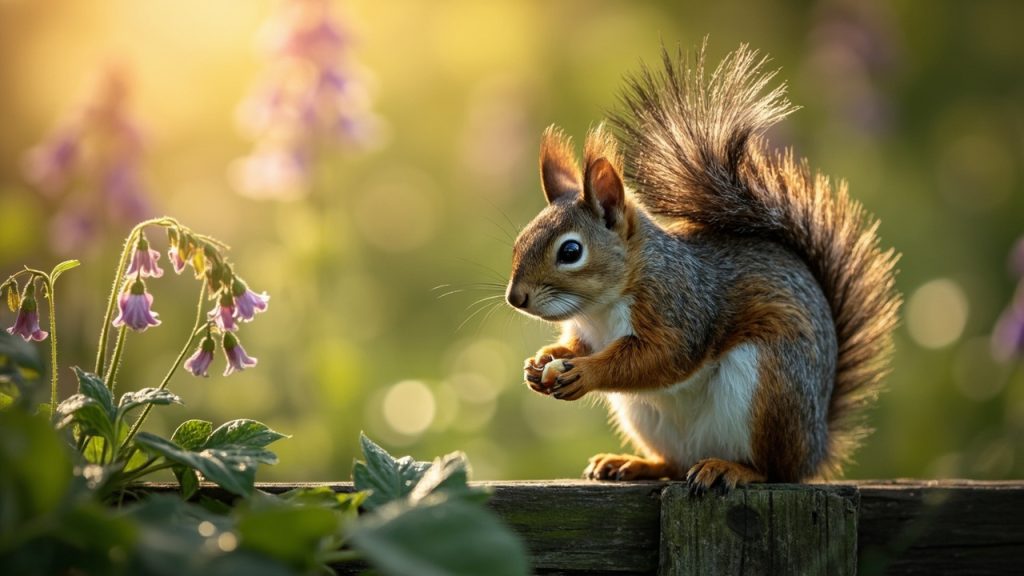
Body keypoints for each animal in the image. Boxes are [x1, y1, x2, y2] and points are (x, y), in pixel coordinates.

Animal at [505, 44, 901, 493]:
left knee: (773, 470)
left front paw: (585, 373)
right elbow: (576, 347)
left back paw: (731, 469)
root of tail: (815, 447)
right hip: (648, 419)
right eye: (519, 241)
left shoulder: (682, 307)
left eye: (571, 251)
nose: (515, 297)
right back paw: (631, 463)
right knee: (674, 464)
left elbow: (660, 357)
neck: (601, 310)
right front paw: (542, 360)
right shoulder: (589, 332)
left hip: (771, 389)